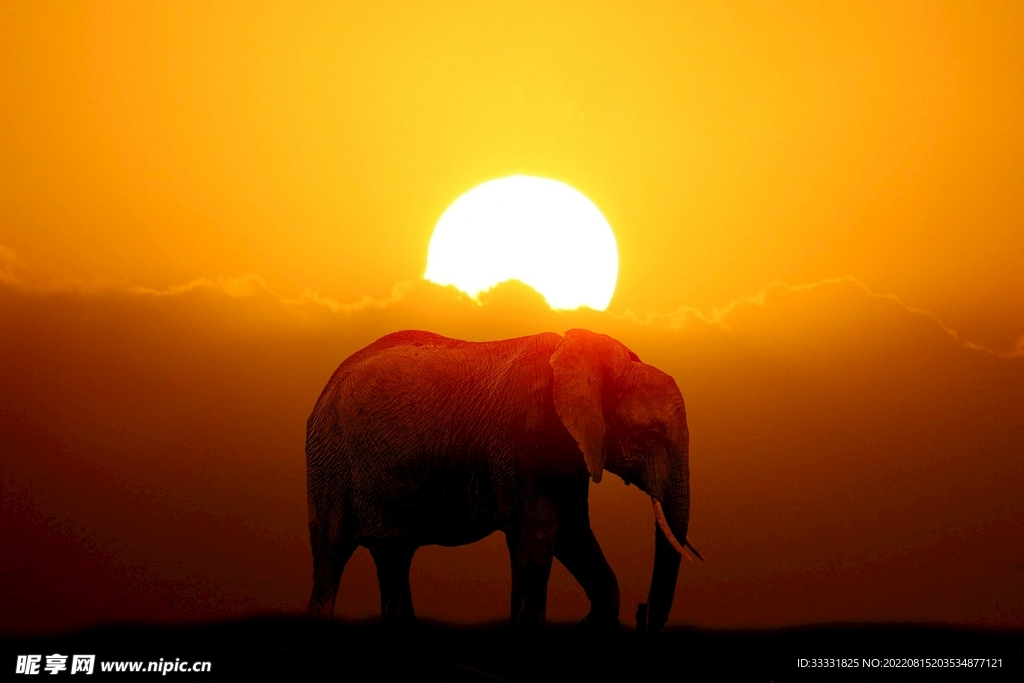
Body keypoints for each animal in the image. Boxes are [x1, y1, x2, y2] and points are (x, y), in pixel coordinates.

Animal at [305, 328, 701, 631]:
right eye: (650, 435)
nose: (642, 613)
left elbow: (573, 533)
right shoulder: (521, 442)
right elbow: (540, 536)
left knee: (394, 558)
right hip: (329, 461)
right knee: (330, 558)